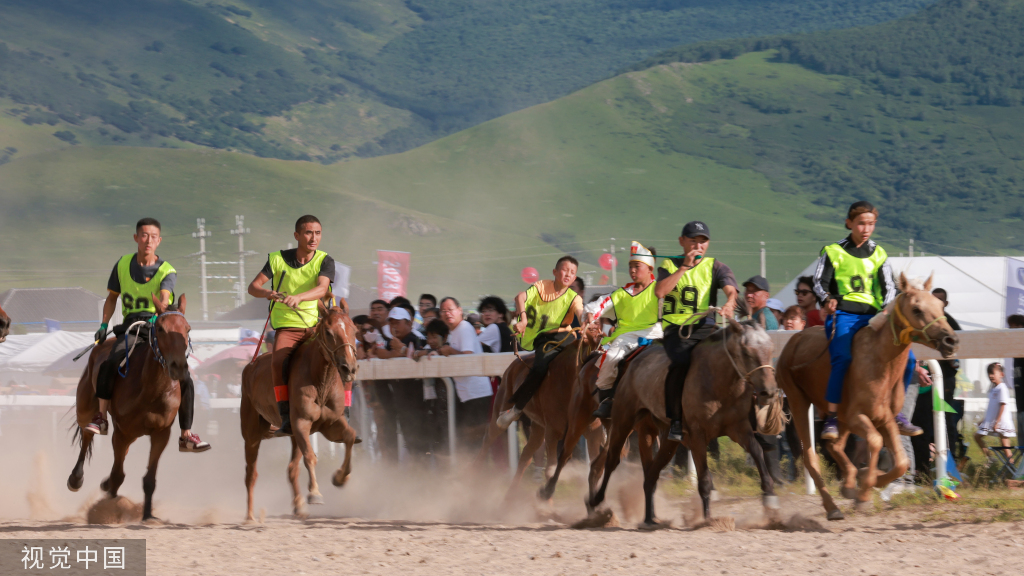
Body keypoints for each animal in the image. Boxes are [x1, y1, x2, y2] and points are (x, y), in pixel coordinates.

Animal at [68, 293, 192, 518]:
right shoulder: (121, 433)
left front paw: (148, 516)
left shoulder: (161, 434)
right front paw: (107, 508)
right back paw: (76, 478)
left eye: (187, 329)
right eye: (161, 329)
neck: (150, 389)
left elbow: (149, 480)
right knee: (87, 435)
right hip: (86, 408)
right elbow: (118, 475)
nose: (178, 367)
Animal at [241, 297, 362, 518]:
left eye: (354, 330)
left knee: (291, 468)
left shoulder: (330, 424)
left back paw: (298, 506)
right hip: (252, 432)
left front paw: (340, 478)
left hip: (293, 435)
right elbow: (310, 457)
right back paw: (250, 516)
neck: (320, 380)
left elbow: (349, 436)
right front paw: (314, 493)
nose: (349, 368)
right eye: (329, 332)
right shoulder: (301, 423)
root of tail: (250, 365)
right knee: (251, 473)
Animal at [475, 330, 602, 500]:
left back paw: (510, 498)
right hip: (501, 407)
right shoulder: (553, 432)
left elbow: (595, 467)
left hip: (538, 426)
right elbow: (551, 469)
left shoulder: (592, 431)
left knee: (526, 455)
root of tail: (514, 364)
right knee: (489, 437)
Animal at [589, 317, 778, 524]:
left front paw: (769, 498)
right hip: (623, 421)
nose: (768, 392)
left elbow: (758, 452)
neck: (718, 382)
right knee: (611, 461)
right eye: (746, 352)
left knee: (651, 474)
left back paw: (649, 518)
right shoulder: (697, 436)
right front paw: (707, 519)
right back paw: (597, 501)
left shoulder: (739, 428)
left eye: (770, 348)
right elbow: (704, 480)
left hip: (664, 437)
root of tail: (635, 360)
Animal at [774, 272, 958, 516]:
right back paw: (832, 507)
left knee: (834, 445)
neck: (879, 362)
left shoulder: (884, 418)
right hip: (798, 401)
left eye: (940, 305)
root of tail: (793, 341)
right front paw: (864, 491)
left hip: (839, 419)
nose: (951, 341)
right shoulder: (857, 417)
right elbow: (875, 442)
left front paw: (866, 482)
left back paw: (849, 483)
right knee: (810, 457)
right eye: (917, 309)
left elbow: (902, 462)